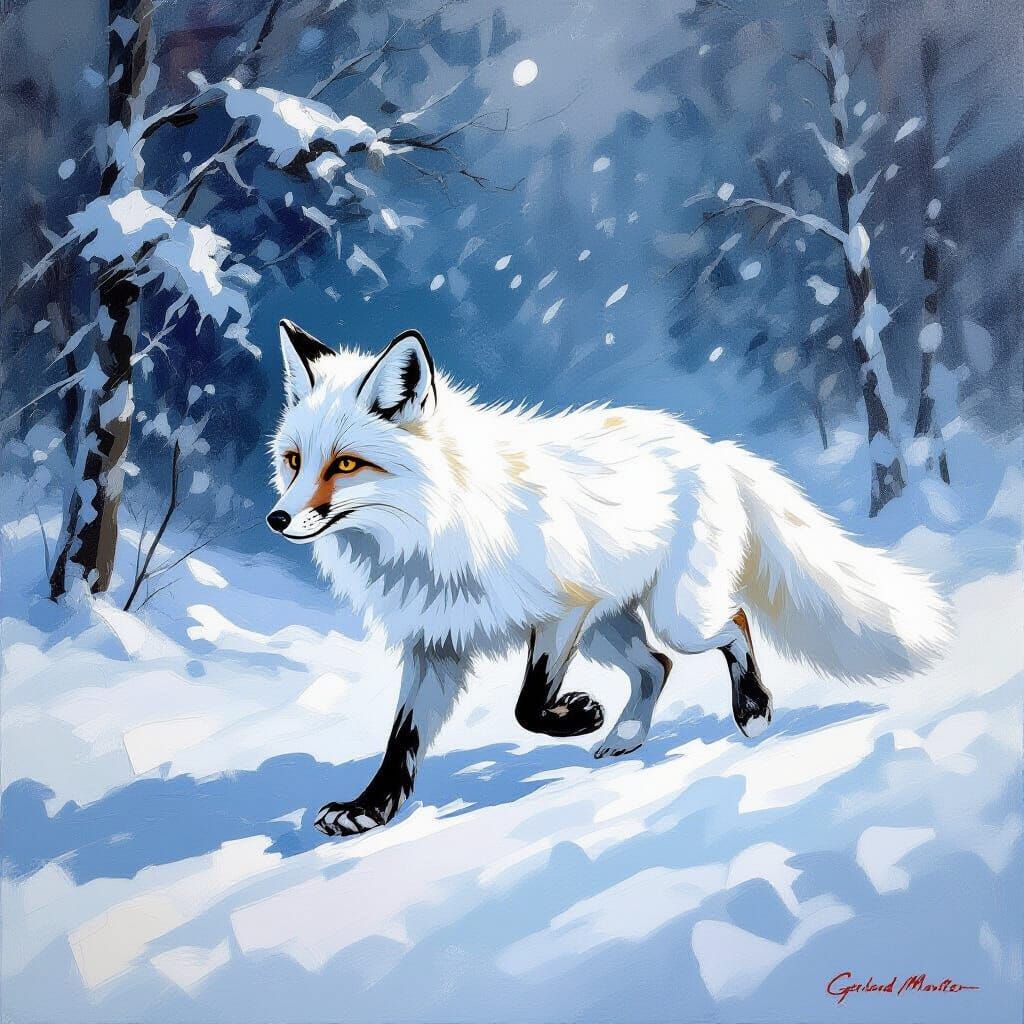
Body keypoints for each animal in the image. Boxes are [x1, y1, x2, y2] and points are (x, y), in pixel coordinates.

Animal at [268, 319, 952, 837]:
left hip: (668, 618)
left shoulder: (560, 611)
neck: (438, 527)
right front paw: (370, 810)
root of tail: (713, 447)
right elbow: (401, 741)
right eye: (295, 461)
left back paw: (751, 709)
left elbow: (527, 705)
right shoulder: (436, 644)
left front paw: (576, 715)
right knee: (656, 667)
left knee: (731, 623)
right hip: (609, 630)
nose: (277, 519)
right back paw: (626, 738)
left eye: (346, 465)